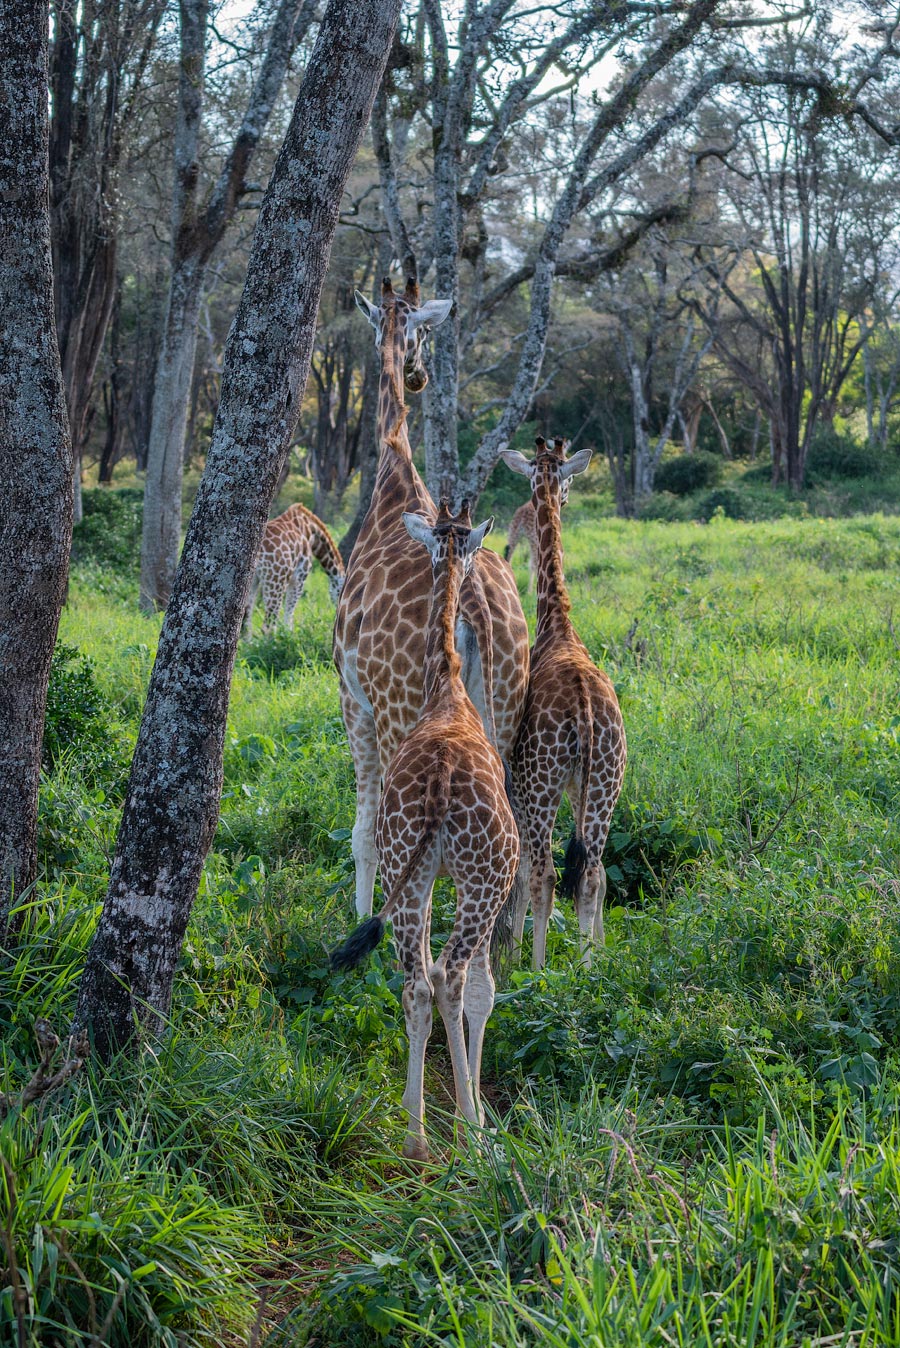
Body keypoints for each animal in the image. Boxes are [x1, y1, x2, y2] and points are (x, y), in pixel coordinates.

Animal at [243, 502, 344, 638]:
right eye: (340, 592)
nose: (338, 613)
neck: (311, 531)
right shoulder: (299, 577)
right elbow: (289, 617)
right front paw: (289, 637)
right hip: (276, 580)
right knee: (268, 627)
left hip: (253, 579)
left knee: (246, 624)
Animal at [331, 502, 519, 1162]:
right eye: (470, 545)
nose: (465, 553)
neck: (448, 691)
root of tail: (439, 791)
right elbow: (481, 987)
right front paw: (477, 1114)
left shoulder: (422, 874)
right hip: (484, 877)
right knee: (451, 976)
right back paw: (469, 1127)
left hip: (408, 877)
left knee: (416, 981)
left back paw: (414, 1135)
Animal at [334, 277, 529, 918]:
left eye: (417, 332)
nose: (416, 376)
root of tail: (475, 605)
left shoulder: (353, 699)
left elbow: (363, 831)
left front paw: (360, 915)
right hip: (507, 706)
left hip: (400, 712)